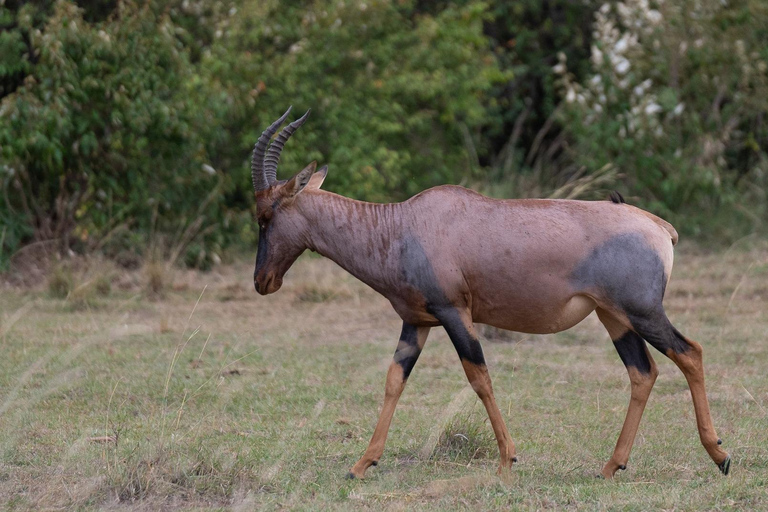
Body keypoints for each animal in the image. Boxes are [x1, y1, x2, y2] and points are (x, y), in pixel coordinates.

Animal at [252, 108, 732, 480]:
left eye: (265, 213)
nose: (262, 282)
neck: (404, 224)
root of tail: (659, 226)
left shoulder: (454, 313)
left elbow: (479, 377)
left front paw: (506, 461)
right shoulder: (416, 322)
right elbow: (394, 381)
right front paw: (360, 464)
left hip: (643, 312)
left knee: (690, 352)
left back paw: (720, 455)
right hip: (613, 317)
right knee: (643, 372)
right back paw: (612, 466)